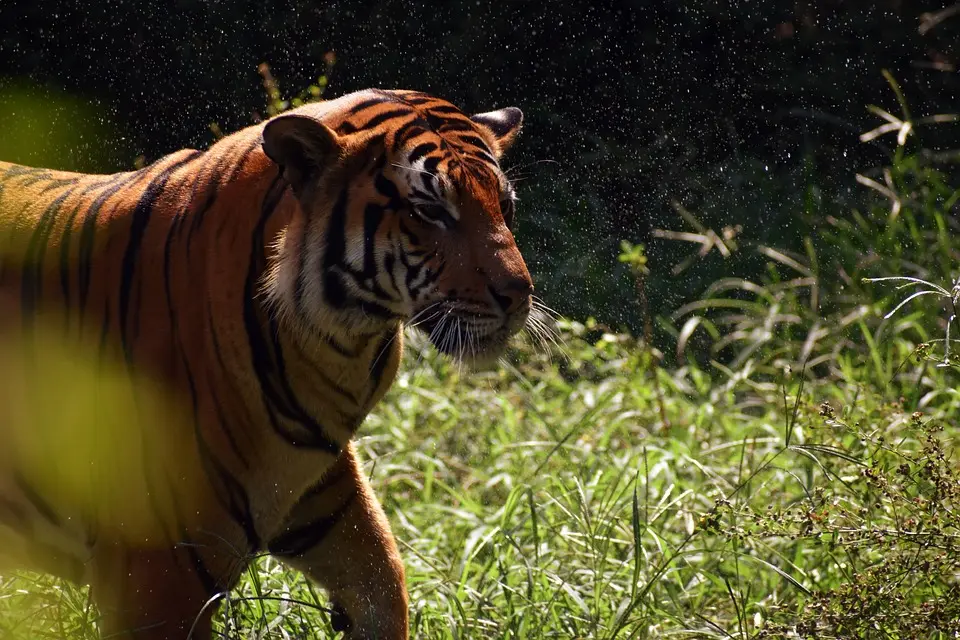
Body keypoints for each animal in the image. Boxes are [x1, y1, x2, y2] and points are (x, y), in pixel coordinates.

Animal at [0, 87, 532, 636]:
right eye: (430, 210)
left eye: (505, 206)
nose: (519, 294)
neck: (338, 350)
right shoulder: (155, 570)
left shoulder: (326, 504)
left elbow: (384, 585)